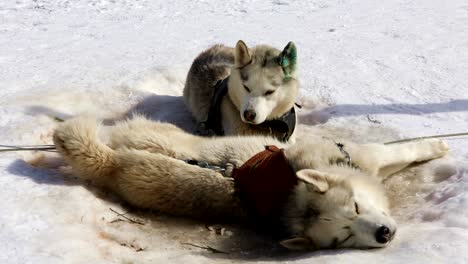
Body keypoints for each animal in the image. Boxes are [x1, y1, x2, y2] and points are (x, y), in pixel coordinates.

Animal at [53, 117, 448, 250]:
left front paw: (437, 146)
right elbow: (403, 151)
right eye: (344, 238)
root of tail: (115, 162)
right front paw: (438, 146)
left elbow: (405, 151)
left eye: (356, 206)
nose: (384, 234)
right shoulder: (363, 158)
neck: (293, 194)